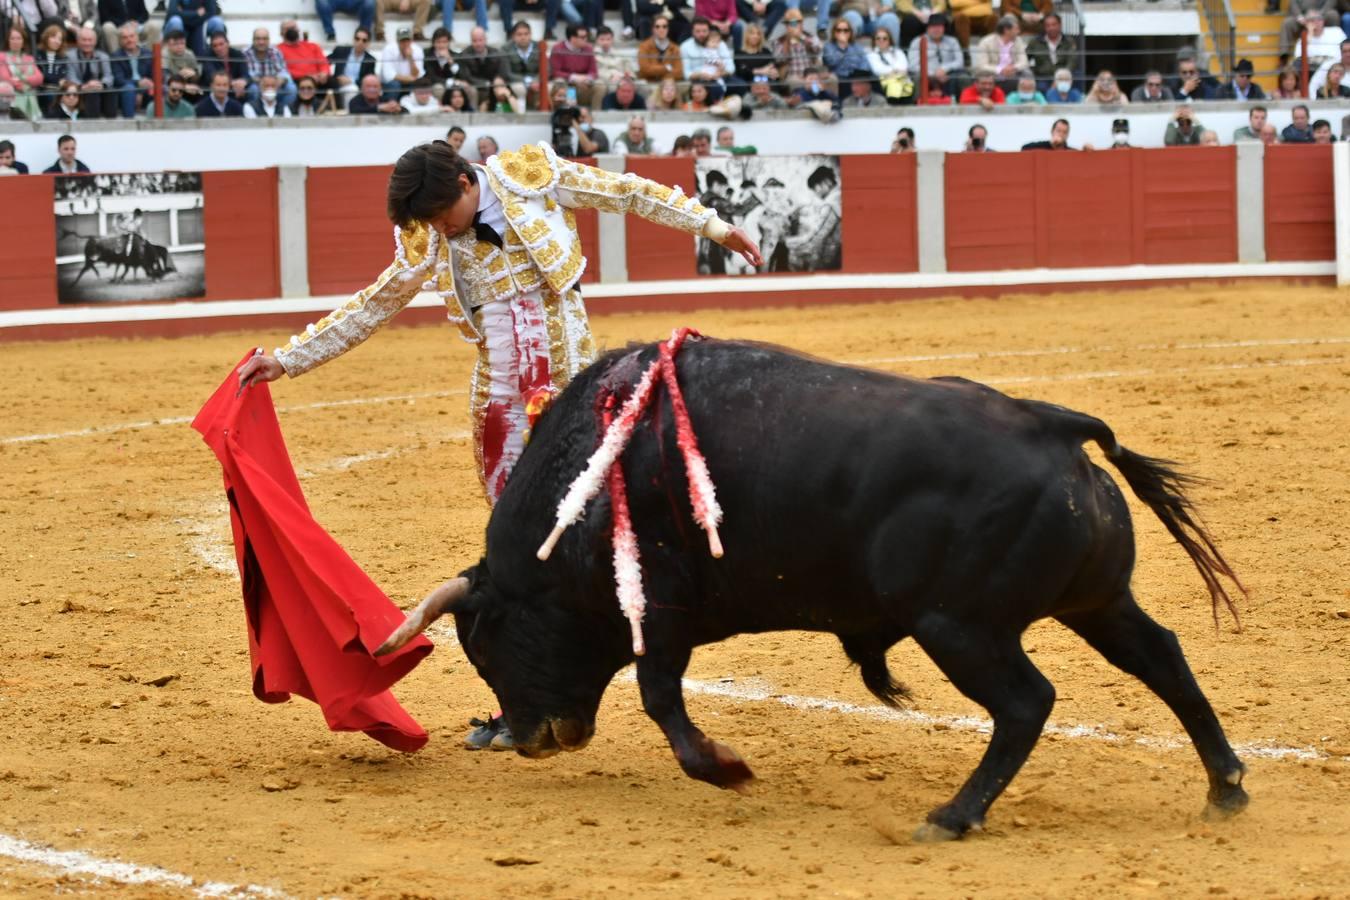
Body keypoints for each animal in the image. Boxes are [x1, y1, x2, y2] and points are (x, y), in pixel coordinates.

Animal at [386, 337, 1247, 836]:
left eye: (488, 647)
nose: (530, 737)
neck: (589, 488)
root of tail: (1055, 429)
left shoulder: (659, 609)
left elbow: (661, 698)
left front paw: (727, 769)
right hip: (1097, 603)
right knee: (1162, 657)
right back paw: (1226, 787)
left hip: (959, 627)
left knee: (1027, 703)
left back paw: (953, 816)